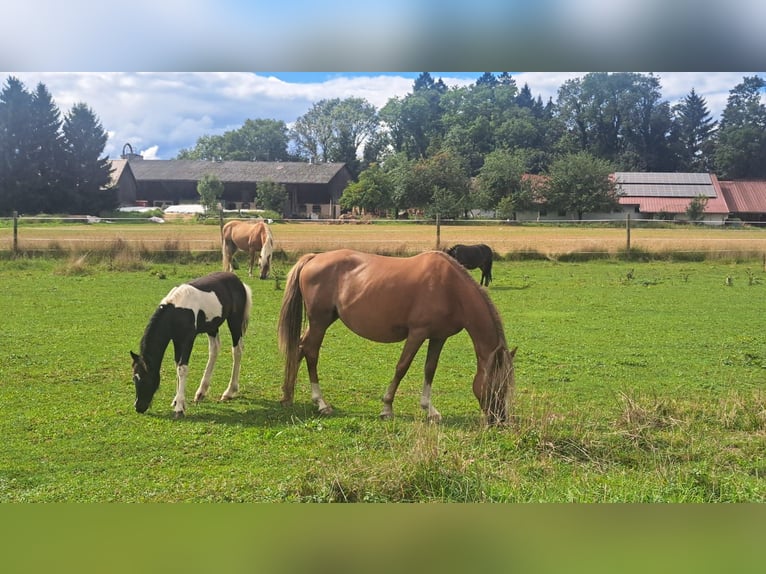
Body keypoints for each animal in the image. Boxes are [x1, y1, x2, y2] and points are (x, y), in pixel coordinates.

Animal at [130, 272, 252, 418]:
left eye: (146, 379)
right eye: (134, 378)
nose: (138, 407)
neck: (176, 310)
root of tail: (239, 282)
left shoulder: (188, 339)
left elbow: (182, 368)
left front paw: (179, 409)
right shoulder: (176, 339)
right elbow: (177, 365)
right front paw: (177, 401)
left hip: (234, 322)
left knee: (237, 350)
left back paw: (229, 392)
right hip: (212, 327)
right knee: (214, 350)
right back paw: (201, 392)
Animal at [277, 249, 516, 425]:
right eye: (498, 385)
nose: (500, 420)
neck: (451, 289)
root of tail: (314, 257)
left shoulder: (438, 337)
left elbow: (430, 369)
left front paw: (430, 410)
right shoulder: (417, 333)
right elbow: (402, 367)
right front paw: (387, 408)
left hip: (323, 321)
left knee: (300, 348)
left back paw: (288, 395)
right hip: (320, 321)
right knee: (311, 352)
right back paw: (321, 403)